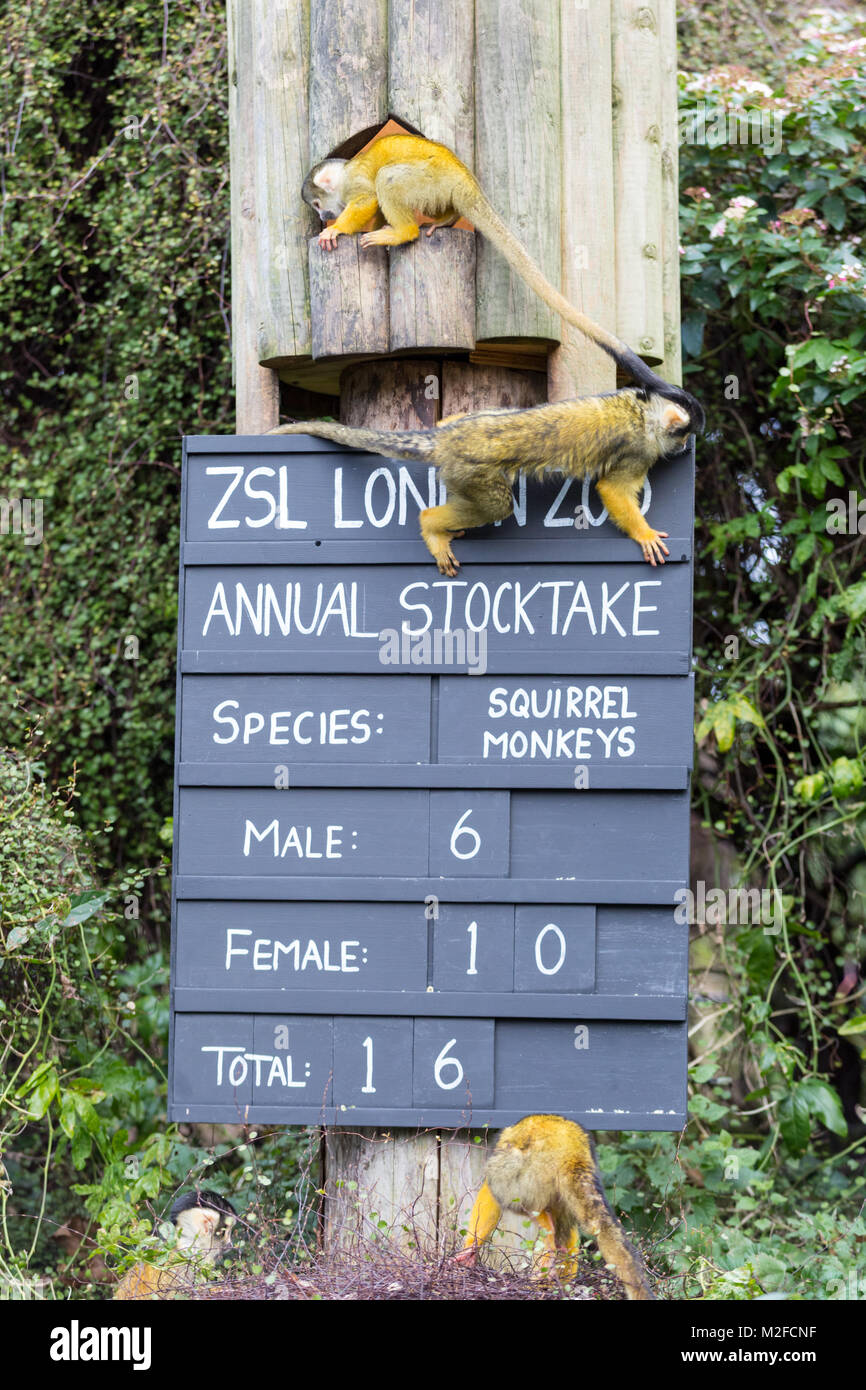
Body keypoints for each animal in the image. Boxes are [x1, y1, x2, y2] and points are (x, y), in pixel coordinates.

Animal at [452, 1115, 656, 1301]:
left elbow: (489, 1192)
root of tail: (571, 1151)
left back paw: (546, 1235)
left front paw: (469, 1249)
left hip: (529, 1170)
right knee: (588, 1225)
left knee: (502, 1190)